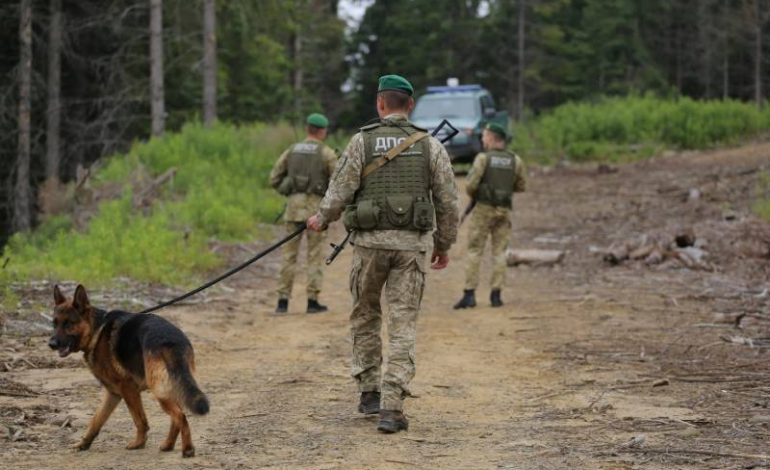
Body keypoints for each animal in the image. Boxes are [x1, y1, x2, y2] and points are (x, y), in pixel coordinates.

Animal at [49, 284, 208, 458]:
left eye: (68, 324)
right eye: (54, 324)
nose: (51, 344)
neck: (96, 330)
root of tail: (170, 339)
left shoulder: (128, 389)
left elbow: (140, 420)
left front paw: (139, 443)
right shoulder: (113, 393)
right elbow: (96, 420)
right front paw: (83, 444)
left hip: (159, 390)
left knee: (180, 415)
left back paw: (188, 448)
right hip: (171, 386)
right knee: (177, 416)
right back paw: (168, 445)